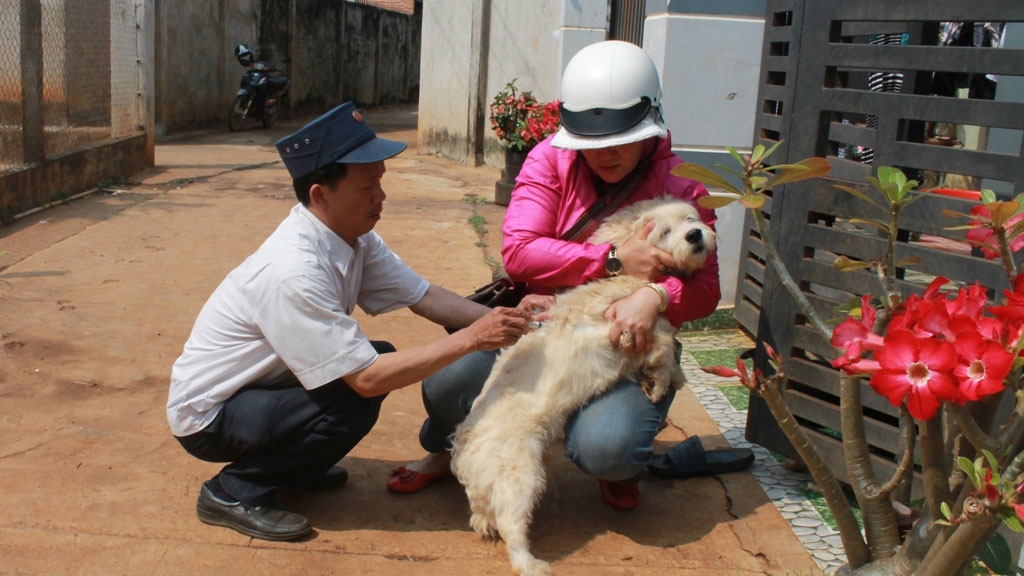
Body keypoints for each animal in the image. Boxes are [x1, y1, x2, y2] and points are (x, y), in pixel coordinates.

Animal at [452, 194, 716, 569]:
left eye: (691, 219)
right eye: (665, 231)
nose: (695, 235)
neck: (624, 281)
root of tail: (463, 452)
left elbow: (666, 333)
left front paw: (669, 377)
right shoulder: (629, 328)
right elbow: (664, 342)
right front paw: (662, 380)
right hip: (518, 475)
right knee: (512, 528)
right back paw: (531, 565)